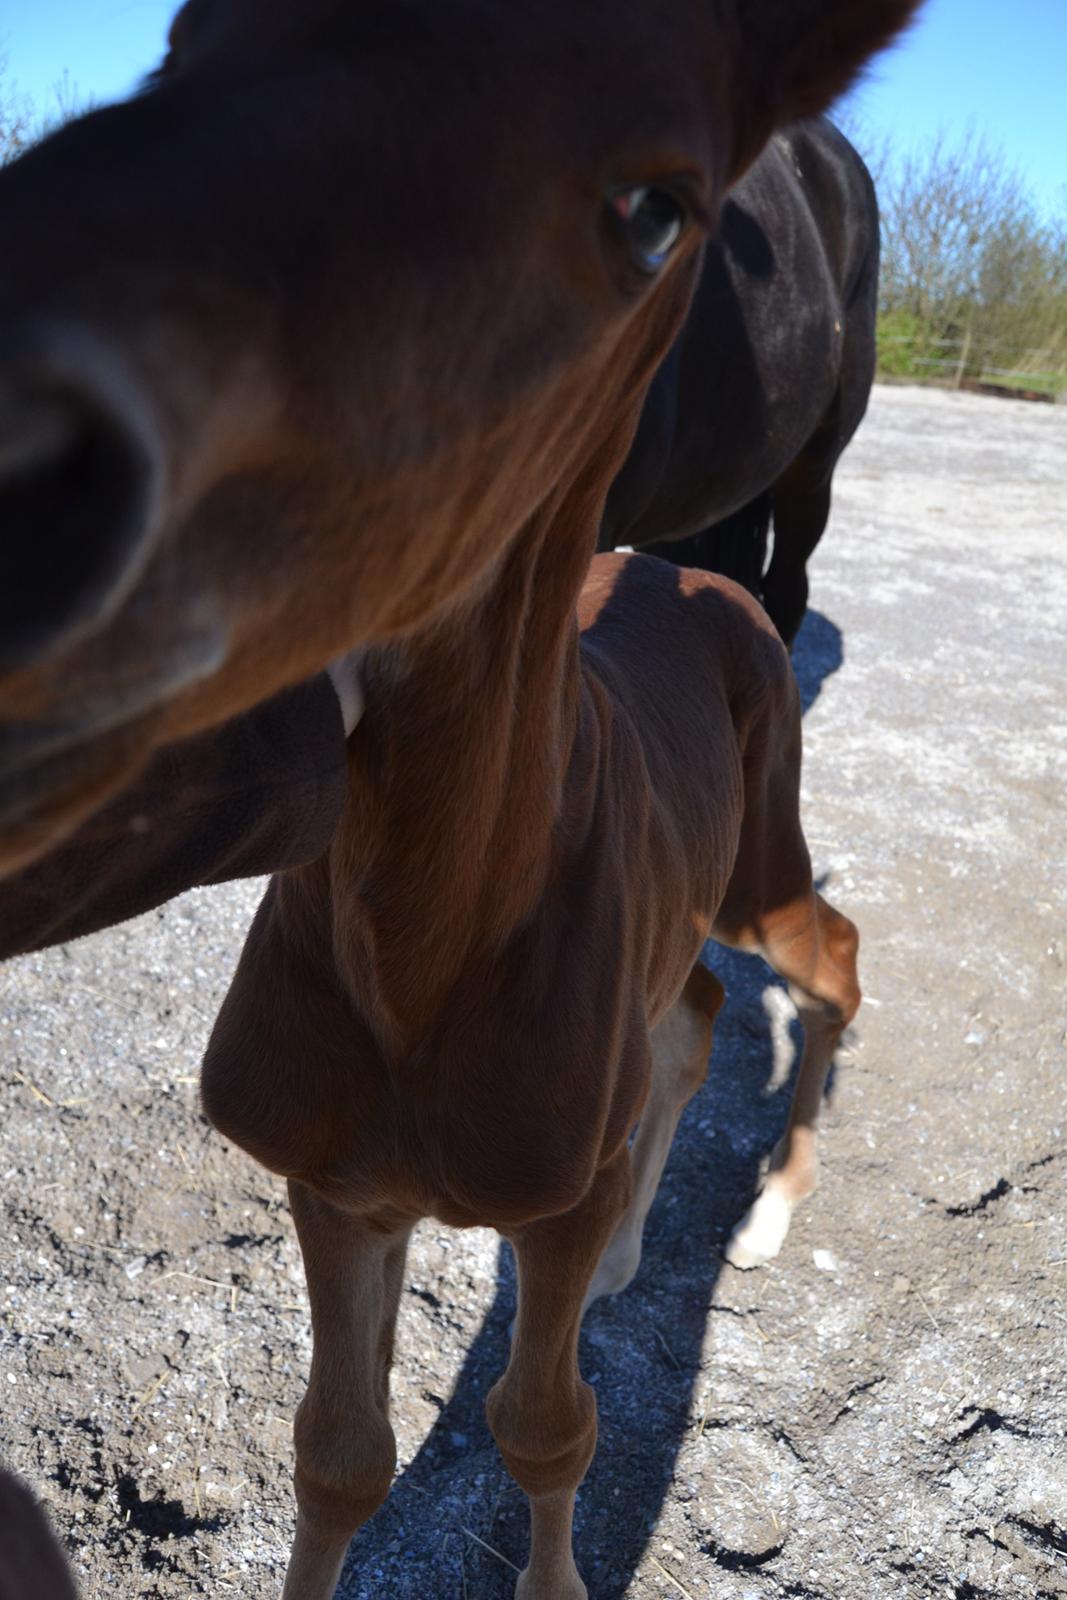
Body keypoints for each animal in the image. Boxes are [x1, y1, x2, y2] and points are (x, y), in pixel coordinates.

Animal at [0, 0, 921, 1593]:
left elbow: (546, 1430)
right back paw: (640, 1244)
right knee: (687, 1016)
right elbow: (337, 1458)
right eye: (178, 43)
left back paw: (760, 1214)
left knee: (823, 964)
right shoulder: (335, 1190)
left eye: (656, 210)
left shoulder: (538, 1201)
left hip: (756, 849)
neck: (424, 950)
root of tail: (709, 582)